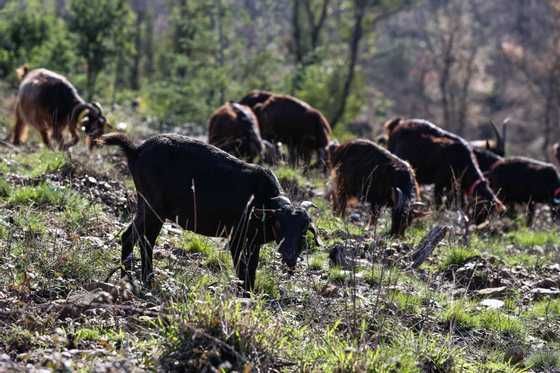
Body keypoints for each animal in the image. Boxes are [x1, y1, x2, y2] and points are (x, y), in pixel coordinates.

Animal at [100, 132, 320, 292]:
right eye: (280, 223)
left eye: (304, 229)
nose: (290, 257)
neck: (262, 200)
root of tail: (136, 150)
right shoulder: (237, 236)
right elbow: (242, 270)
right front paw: (244, 295)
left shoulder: (253, 242)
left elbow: (252, 269)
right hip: (152, 206)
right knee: (135, 238)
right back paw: (135, 280)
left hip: (149, 208)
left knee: (141, 238)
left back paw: (137, 280)